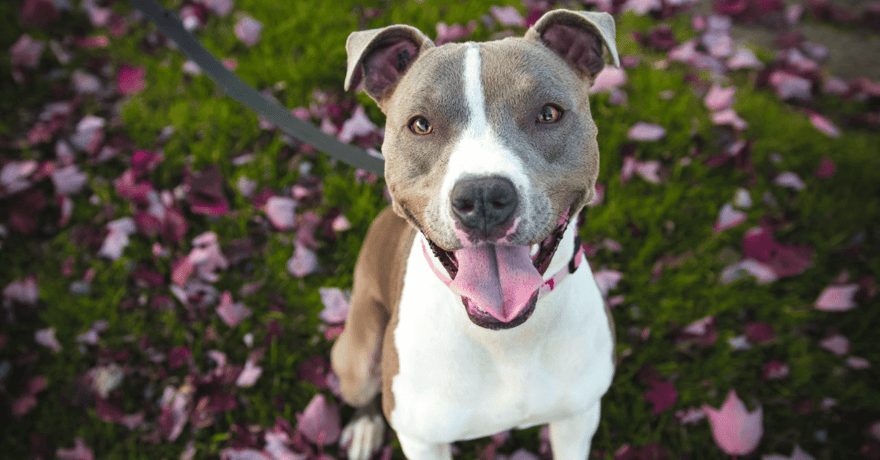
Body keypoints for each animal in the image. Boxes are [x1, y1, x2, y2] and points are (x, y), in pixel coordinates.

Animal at [330, 9, 620, 458]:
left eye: (548, 114)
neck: (507, 338)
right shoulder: (422, 440)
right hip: (357, 356)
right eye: (420, 124)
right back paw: (364, 427)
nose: (483, 195)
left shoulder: (577, 417)